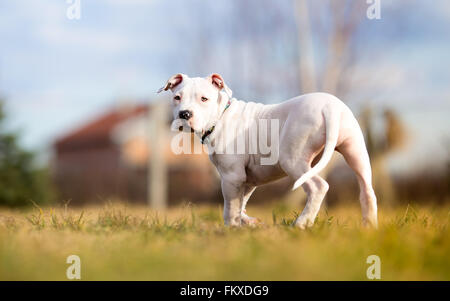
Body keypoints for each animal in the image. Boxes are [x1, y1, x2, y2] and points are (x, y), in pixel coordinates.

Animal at [158, 72, 376, 227]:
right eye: (177, 97)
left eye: (204, 99)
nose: (184, 114)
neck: (221, 116)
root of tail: (329, 108)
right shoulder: (247, 180)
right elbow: (241, 203)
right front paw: (249, 222)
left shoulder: (231, 176)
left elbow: (230, 207)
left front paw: (231, 229)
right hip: (356, 151)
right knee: (367, 190)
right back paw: (369, 227)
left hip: (292, 159)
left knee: (318, 187)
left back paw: (302, 223)